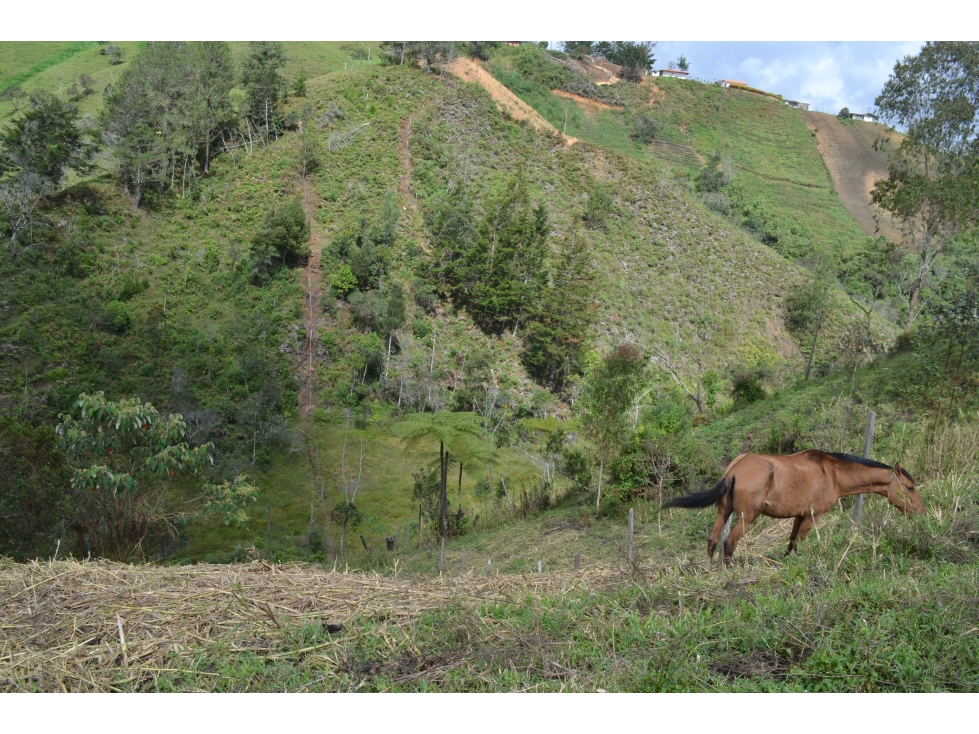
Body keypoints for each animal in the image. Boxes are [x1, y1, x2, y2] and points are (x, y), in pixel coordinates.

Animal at [668, 452, 928, 568]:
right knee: (729, 542)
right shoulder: (812, 516)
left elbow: (791, 544)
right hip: (746, 517)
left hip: (724, 512)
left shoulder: (798, 516)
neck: (831, 473)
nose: (922, 512)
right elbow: (798, 545)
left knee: (712, 540)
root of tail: (735, 468)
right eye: (910, 487)